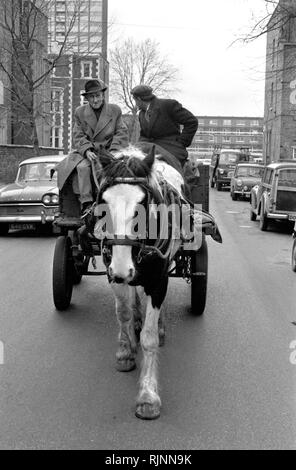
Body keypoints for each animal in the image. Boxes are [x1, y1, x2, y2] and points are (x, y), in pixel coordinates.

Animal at [92, 145, 186, 420]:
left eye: (142, 204)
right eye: (103, 204)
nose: (124, 269)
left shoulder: (158, 279)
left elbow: (149, 336)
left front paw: (147, 395)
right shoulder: (113, 271)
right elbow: (122, 312)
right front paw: (125, 350)